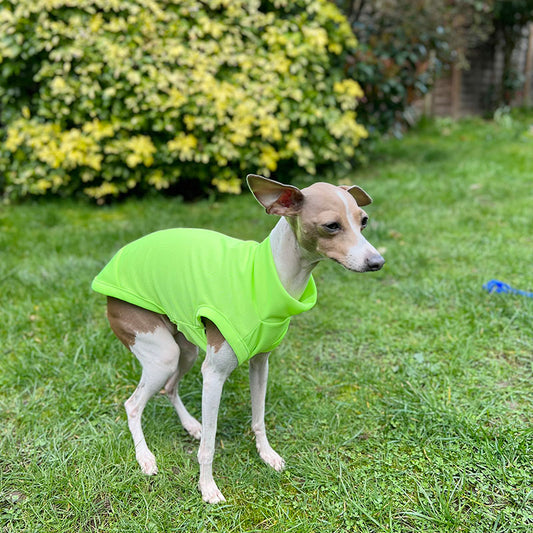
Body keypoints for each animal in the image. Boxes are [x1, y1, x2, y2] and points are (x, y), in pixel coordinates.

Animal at [91, 175, 382, 502]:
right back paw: (145, 457)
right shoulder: (213, 374)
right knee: (133, 405)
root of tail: (116, 259)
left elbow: (258, 417)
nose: (377, 261)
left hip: (185, 349)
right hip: (161, 353)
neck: (270, 275)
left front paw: (266, 454)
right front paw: (207, 487)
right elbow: (208, 446)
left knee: (169, 387)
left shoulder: (260, 364)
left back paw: (191, 425)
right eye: (332, 225)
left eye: (363, 221)